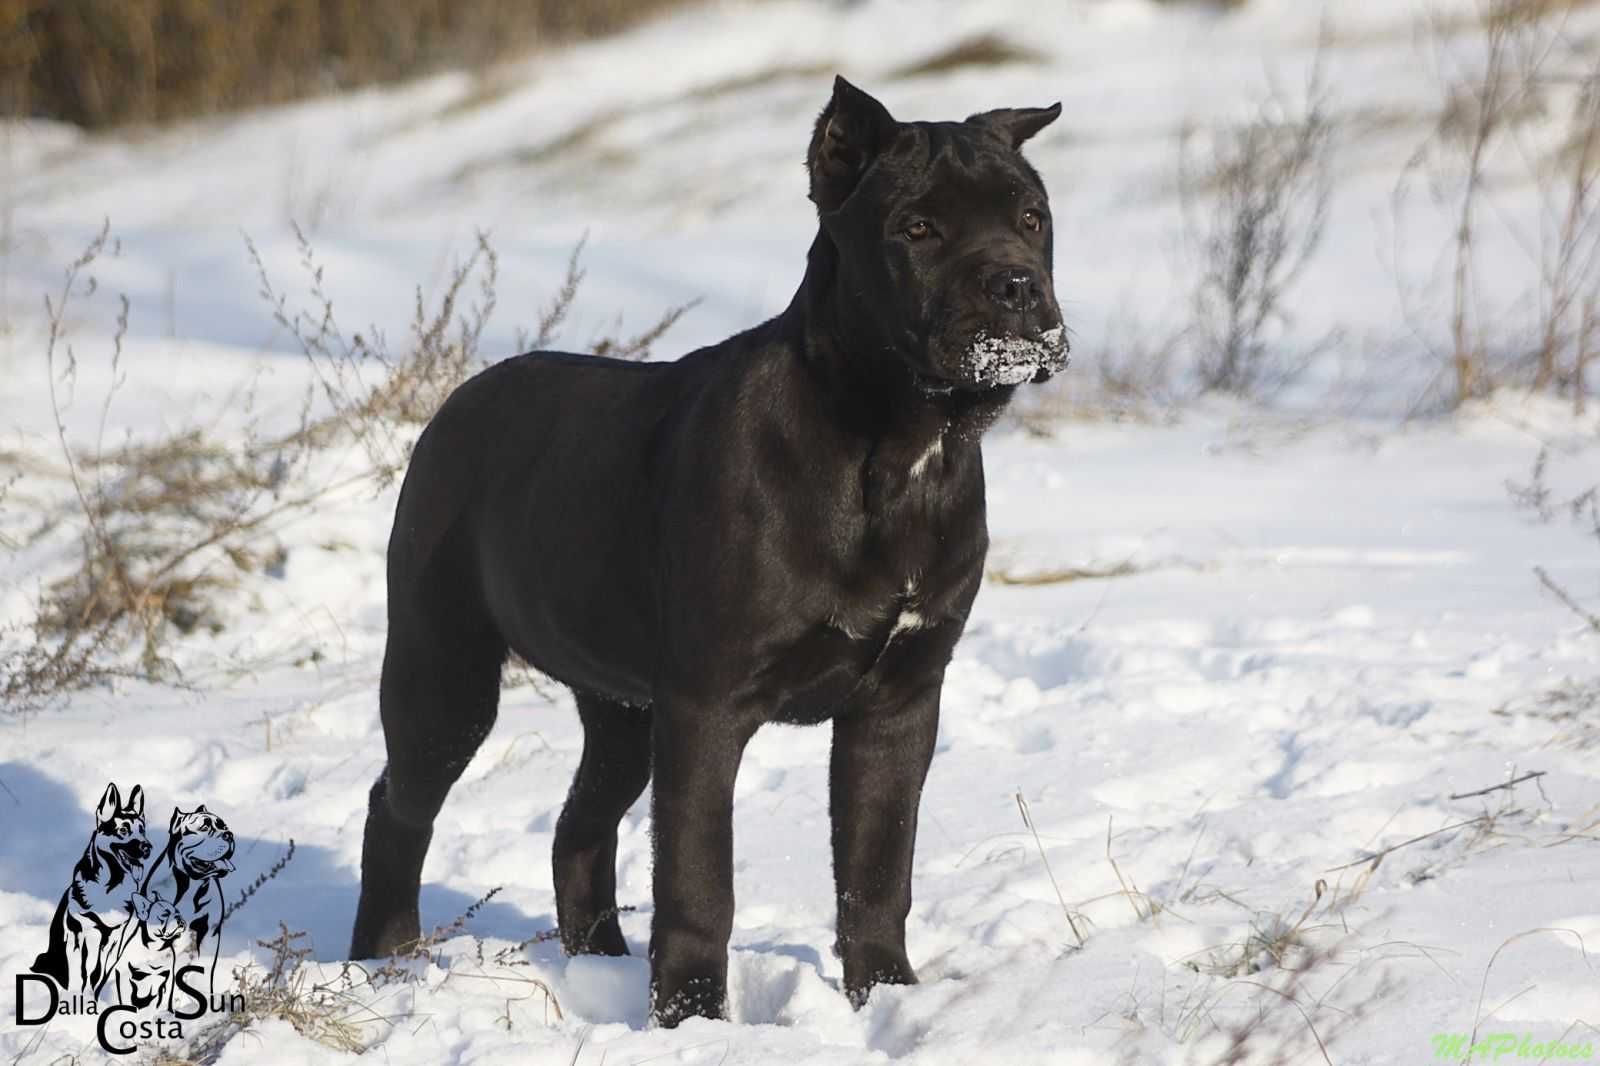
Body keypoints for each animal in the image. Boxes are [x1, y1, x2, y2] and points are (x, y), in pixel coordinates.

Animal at [356, 74, 1068, 1024]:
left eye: (1031, 216)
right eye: (918, 229)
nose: (1017, 284)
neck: (897, 444)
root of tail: (453, 404)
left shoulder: (900, 698)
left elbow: (878, 866)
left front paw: (885, 996)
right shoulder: (707, 703)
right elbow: (699, 880)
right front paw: (693, 1017)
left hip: (621, 708)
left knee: (579, 827)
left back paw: (599, 968)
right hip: (444, 673)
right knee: (399, 808)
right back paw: (383, 960)